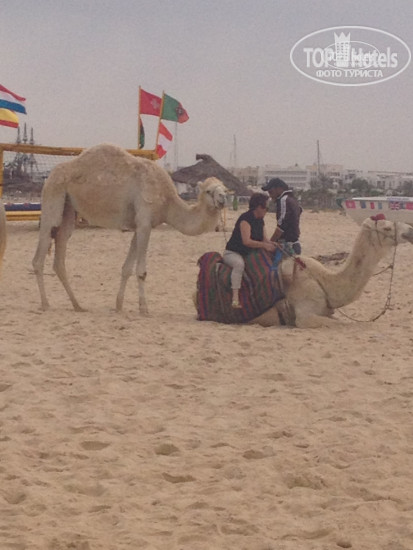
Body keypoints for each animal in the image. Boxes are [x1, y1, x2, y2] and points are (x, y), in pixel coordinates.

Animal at [32, 143, 227, 313]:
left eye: (224, 189)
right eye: (209, 191)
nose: (222, 199)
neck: (167, 201)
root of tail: (52, 174)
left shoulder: (139, 226)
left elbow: (126, 269)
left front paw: (118, 306)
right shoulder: (145, 222)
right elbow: (141, 271)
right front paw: (144, 309)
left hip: (68, 207)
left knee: (60, 250)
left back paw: (78, 306)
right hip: (53, 195)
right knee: (39, 255)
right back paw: (45, 304)